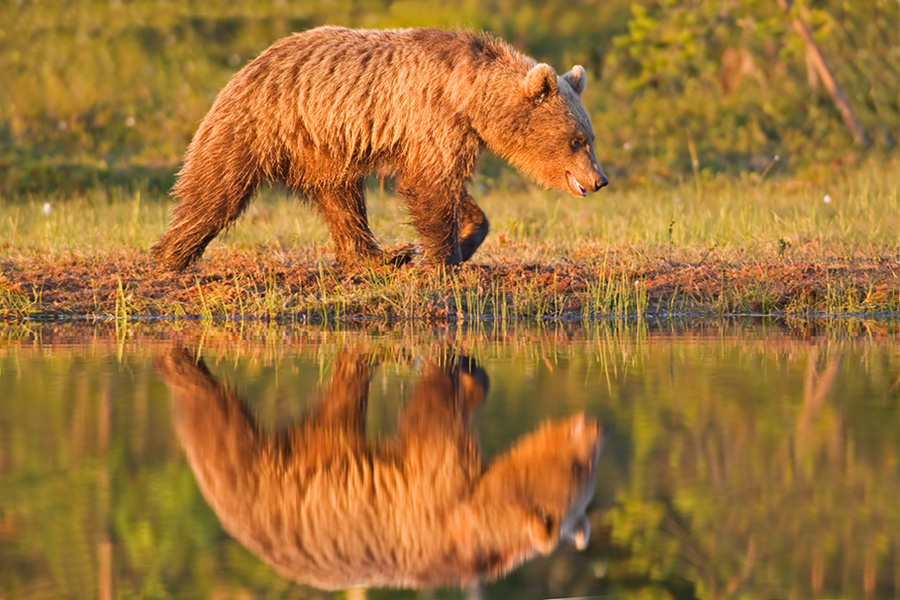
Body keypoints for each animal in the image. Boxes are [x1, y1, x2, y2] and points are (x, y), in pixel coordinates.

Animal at [151, 27, 608, 270]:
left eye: (589, 137)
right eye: (576, 139)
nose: (600, 179)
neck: (471, 96)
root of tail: (247, 67)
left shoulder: (446, 132)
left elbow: (446, 185)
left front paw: (461, 240)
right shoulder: (432, 114)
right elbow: (431, 186)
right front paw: (441, 259)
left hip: (323, 145)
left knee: (341, 200)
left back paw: (379, 256)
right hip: (259, 124)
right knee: (216, 191)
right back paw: (169, 257)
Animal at [156, 346, 604, 592]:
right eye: (582, 466)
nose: (594, 428)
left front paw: (471, 380)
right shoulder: (436, 499)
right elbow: (432, 421)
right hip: (258, 472)